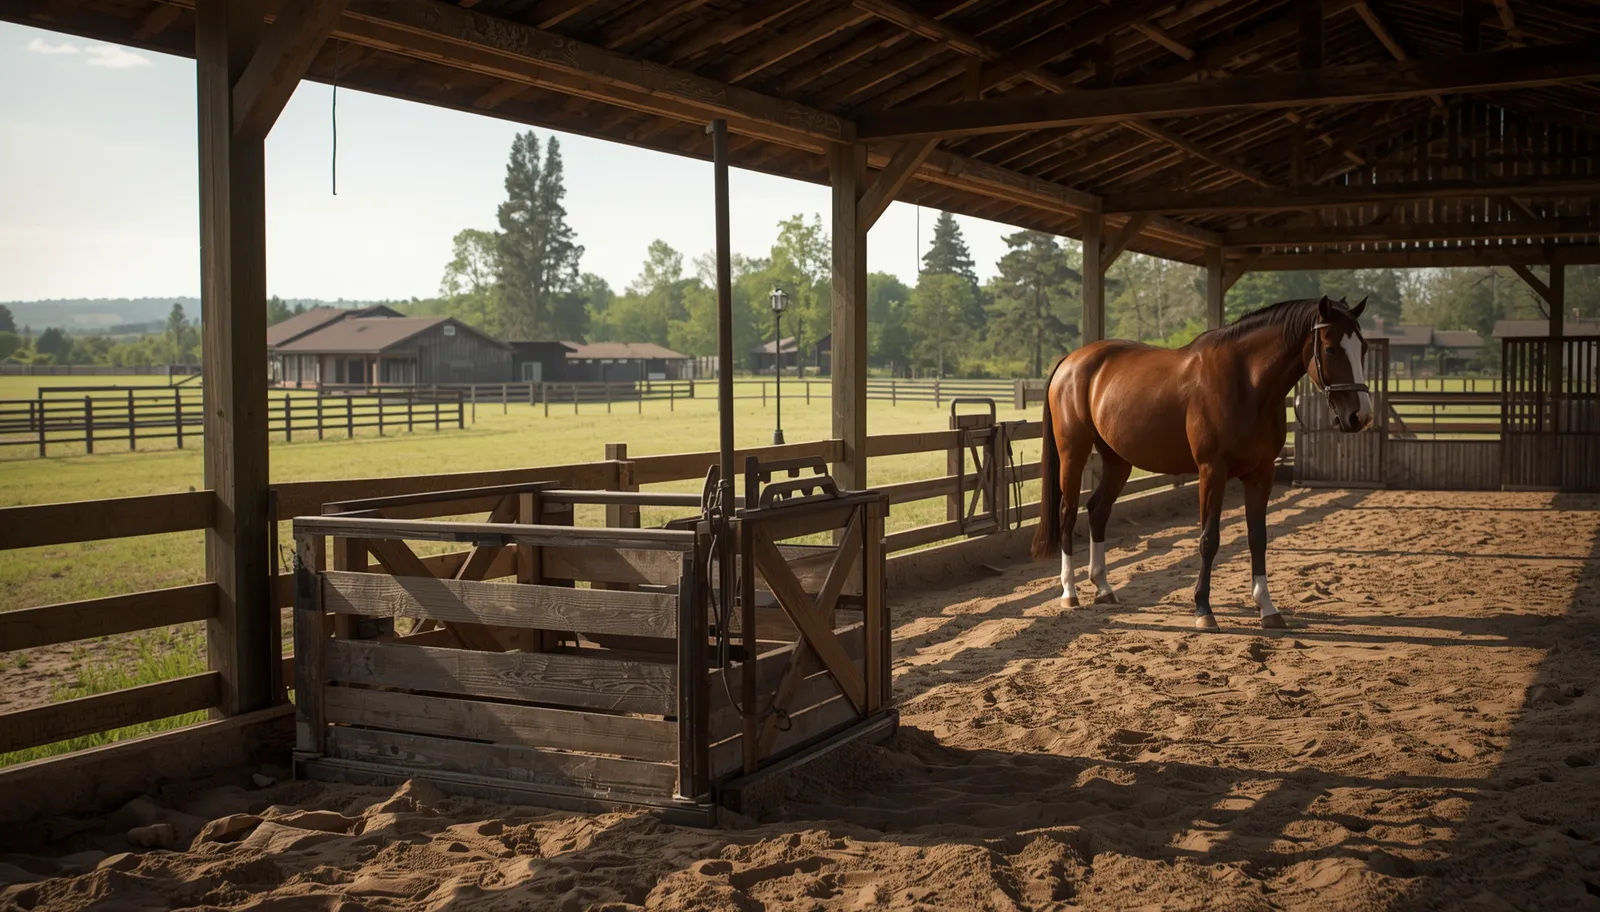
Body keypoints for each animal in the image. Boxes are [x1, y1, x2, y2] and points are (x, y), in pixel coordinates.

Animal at [1031, 295, 1373, 630]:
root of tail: (1070, 361)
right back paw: (1069, 592)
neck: (1245, 383)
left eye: (1363, 348)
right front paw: (1203, 609)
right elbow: (1209, 539)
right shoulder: (1212, 472)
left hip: (1117, 460)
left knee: (1098, 510)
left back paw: (1103, 588)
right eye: (1330, 348)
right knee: (1068, 513)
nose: (1361, 416)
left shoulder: (1261, 473)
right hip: (1073, 452)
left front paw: (1268, 608)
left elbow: (1257, 537)